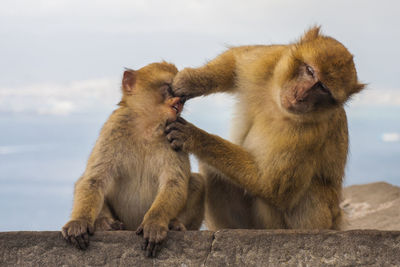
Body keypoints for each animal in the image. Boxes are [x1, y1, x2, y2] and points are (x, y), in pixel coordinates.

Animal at [62, 62, 206, 258]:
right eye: (169, 88)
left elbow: (174, 182)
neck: (148, 126)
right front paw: (79, 222)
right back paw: (105, 223)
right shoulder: (114, 127)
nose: (181, 101)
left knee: (198, 181)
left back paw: (174, 224)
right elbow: (94, 179)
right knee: (84, 181)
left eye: (181, 94)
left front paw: (154, 223)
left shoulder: (175, 132)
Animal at [164, 27, 364, 232]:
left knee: (311, 190)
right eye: (310, 71)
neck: (278, 105)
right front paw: (189, 82)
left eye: (323, 87)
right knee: (212, 170)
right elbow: (236, 60)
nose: (300, 94)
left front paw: (194, 137)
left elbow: (271, 186)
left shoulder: (307, 135)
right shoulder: (270, 61)